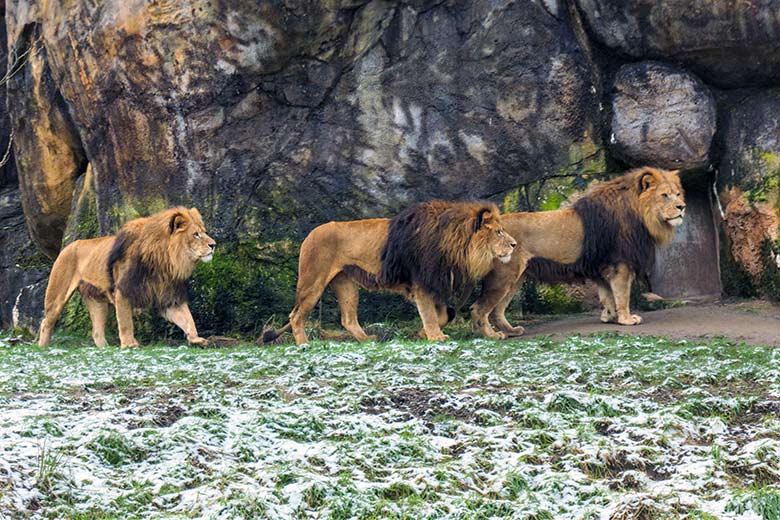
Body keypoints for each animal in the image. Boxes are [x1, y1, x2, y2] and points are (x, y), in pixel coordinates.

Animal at [37, 205, 216, 348]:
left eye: (204, 232)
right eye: (196, 234)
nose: (213, 245)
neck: (163, 260)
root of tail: (68, 245)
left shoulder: (168, 296)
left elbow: (187, 318)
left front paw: (196, 339)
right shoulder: (123, 291)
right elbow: (125, 322)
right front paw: (129, 344)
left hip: (97, 300)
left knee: (96, 331)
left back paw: (105, 349)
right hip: (57, 294)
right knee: (46, 321)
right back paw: (43, 347)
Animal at [264, 200, 516, 346]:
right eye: (499, 232)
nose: (514, 245)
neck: (456, 245)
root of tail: (310, 234)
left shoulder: (435, 284)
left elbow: (444, 315)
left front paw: (421, 334)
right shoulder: (422, 283)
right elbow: (430, 315)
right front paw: (436, 337)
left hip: (346, 284)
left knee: (348, 319)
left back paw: (367, 339)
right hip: (313, 280)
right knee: (296, 315)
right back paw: (303, 344)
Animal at [470, 166, 684, 338]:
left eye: (678, 194)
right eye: (665, 195)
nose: (682, 207)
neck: (641, 214)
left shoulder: (602, 267)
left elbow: (607, 295)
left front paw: (609, 317)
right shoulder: (620, 264)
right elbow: (622, 294)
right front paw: (626, 319)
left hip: (515, 278)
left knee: (497, 310)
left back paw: (512, 331)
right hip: (503, 277)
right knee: (479, 308)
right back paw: (492, 336)